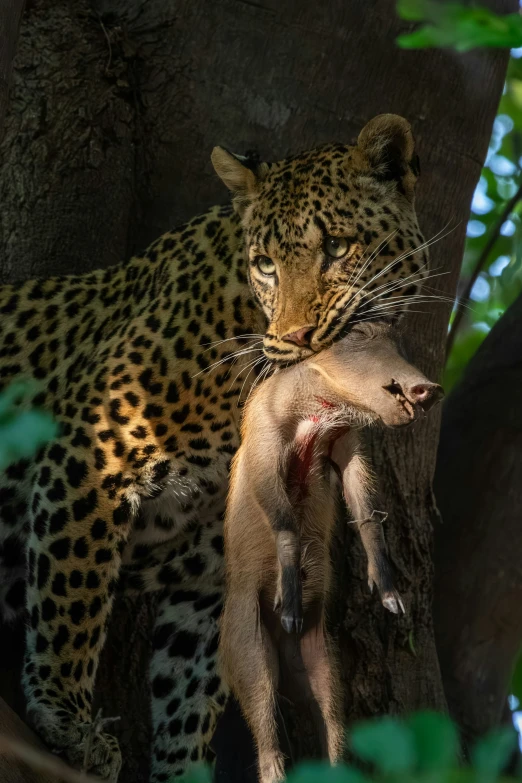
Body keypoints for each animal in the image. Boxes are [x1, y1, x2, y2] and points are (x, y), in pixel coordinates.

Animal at [0, 113, 426, 780]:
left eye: (336, 248)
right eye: (267, 264)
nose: (297, 337)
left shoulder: (211, 559)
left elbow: (191, 684)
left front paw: (181, 768)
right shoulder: (90, 448)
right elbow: (72, 597)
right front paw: (66, 717)